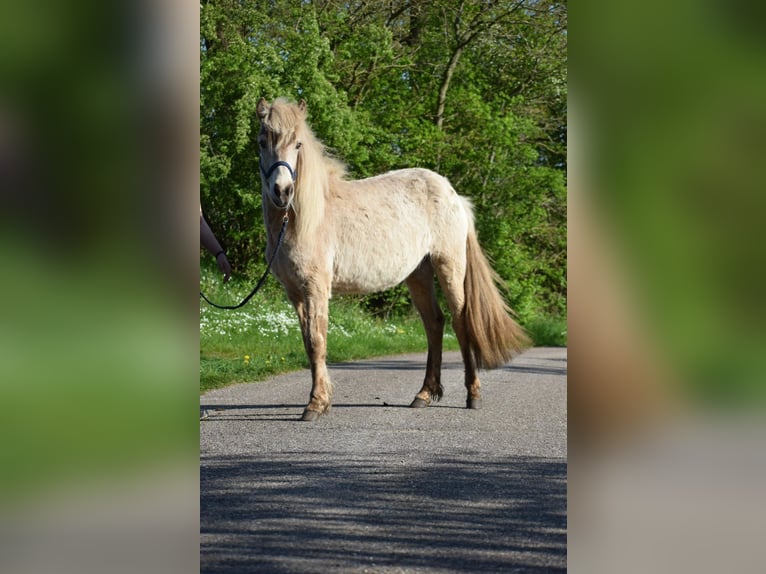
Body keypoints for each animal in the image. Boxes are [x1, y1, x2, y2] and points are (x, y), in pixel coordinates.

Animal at [255, 98, 532, 424]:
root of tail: (454, 195)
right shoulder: (296, 294)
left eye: (298, 144)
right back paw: (423, 395)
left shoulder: (316, 290)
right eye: (262, 142)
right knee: (434, 323)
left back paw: (472, 395)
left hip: (449, 266)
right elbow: (309, 345)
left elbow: (317, 342)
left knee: (460, 321)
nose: (282, 191)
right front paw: (321, 401)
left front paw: (315, 404)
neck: (303, 219)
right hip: (418, 274)